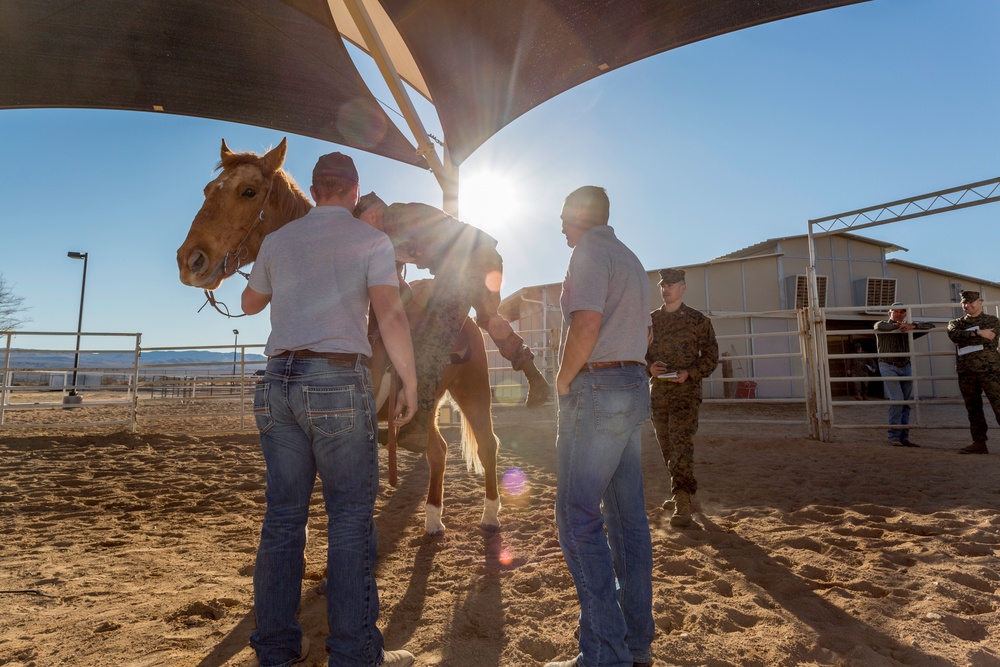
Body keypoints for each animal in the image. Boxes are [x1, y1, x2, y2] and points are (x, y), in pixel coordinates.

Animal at [178, 138, 500, 536]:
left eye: (248, 191)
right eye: (208, 190)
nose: (190, 260)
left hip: (475, 390)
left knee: (487, 445)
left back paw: (490, 515)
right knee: (437, 450)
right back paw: (433, 519)